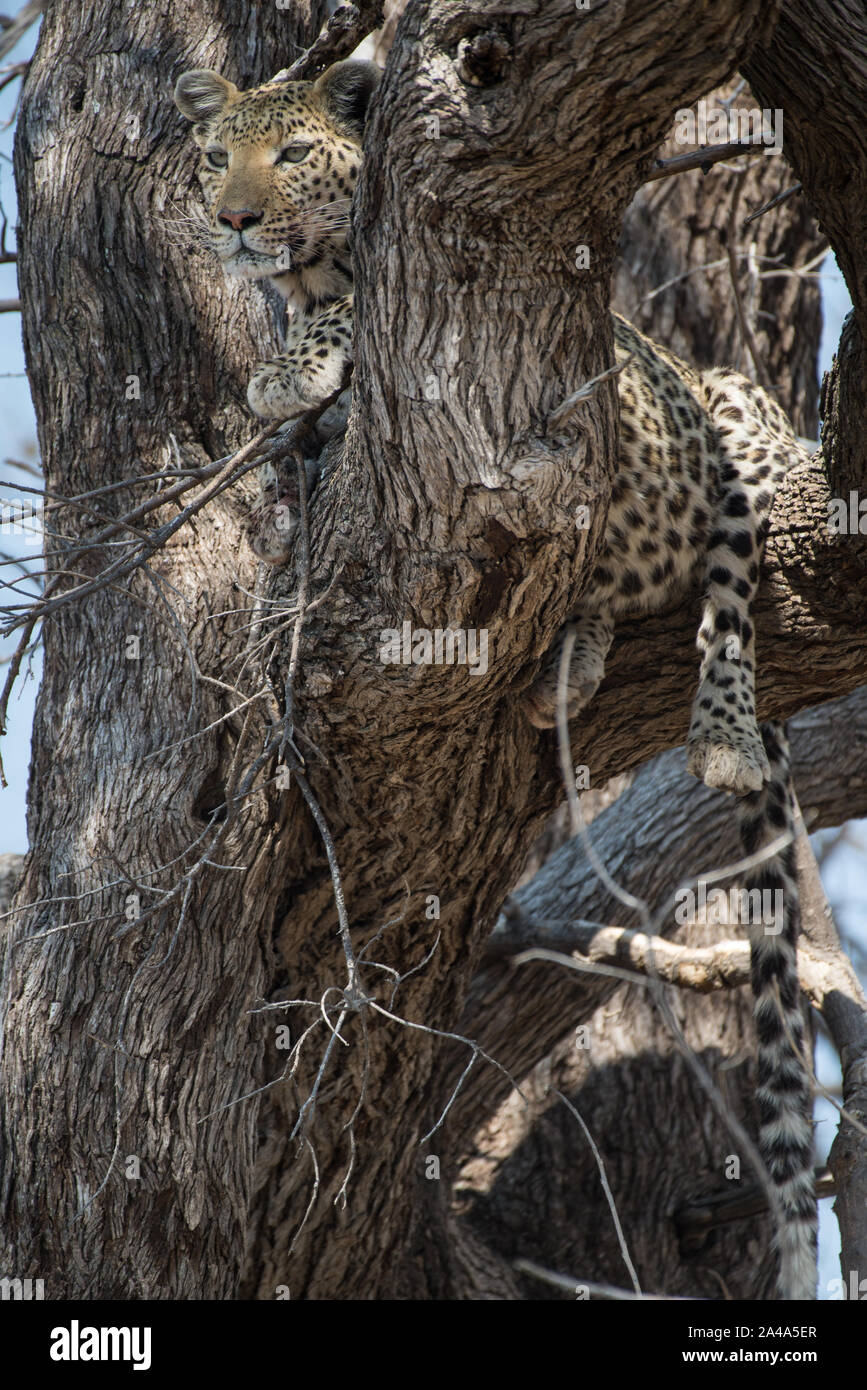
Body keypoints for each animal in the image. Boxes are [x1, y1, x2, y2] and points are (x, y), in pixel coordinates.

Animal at [174, 65, 811, 1295]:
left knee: (727, 590)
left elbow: (346, 322)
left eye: (290, 156)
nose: (230, 221)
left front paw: (289, 366)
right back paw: (574, 657)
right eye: (215, 156)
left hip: (722, 429)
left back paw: (712, 725)